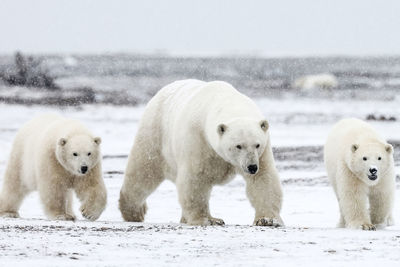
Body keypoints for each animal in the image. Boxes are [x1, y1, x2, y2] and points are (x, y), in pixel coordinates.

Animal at [119, 79, 284, 226]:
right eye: (238, 146)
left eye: (257, 144)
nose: (251, 167)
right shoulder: (198, 138)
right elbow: (195, 178)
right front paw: (209, 220)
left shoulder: (262, 152)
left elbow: (263, 179)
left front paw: (267, 220)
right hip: (155, 133)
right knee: (143, 171)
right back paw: (134, 212)